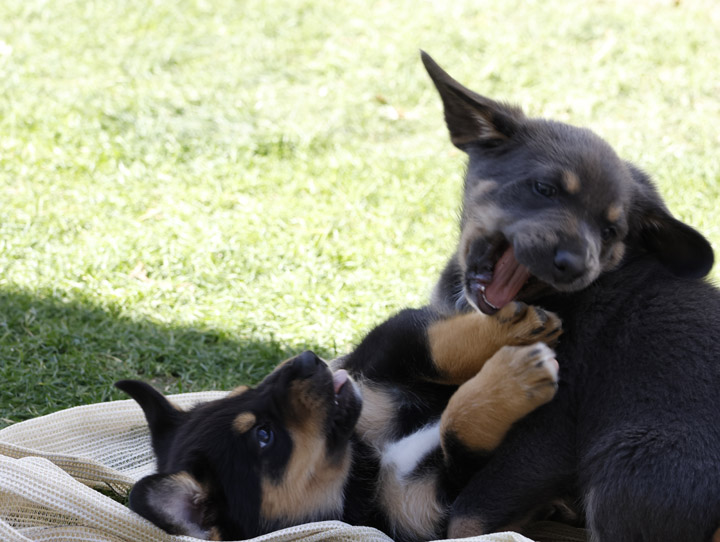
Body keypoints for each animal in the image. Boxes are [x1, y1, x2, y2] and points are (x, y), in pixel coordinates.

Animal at [116, 304, 564, 540]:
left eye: (244, 391)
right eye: (264, 436)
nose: (307, 360)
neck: (365, 459)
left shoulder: (376, 365)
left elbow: (429, 344)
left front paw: (519, 324)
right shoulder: (430, 510)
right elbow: (456, 427)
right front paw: (518, 376)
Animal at [422, 52, 720, 542]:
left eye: (611, 231)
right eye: (545, 188)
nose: (575, 266)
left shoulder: (548, 433)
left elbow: (468, 518)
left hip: (629, 460)